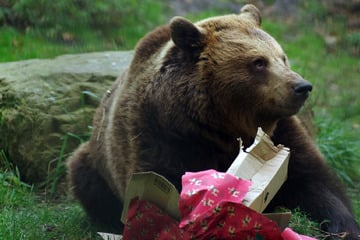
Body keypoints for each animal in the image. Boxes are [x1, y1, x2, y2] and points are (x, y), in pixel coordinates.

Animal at [67, 4, 360, 239]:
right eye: (258, 62)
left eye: (282, 57)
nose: (302, 86)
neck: (224, 125)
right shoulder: (162, 135)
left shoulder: (282, 132)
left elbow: (313, 179)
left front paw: (344, 226)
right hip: (94, 160)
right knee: (86, 180)